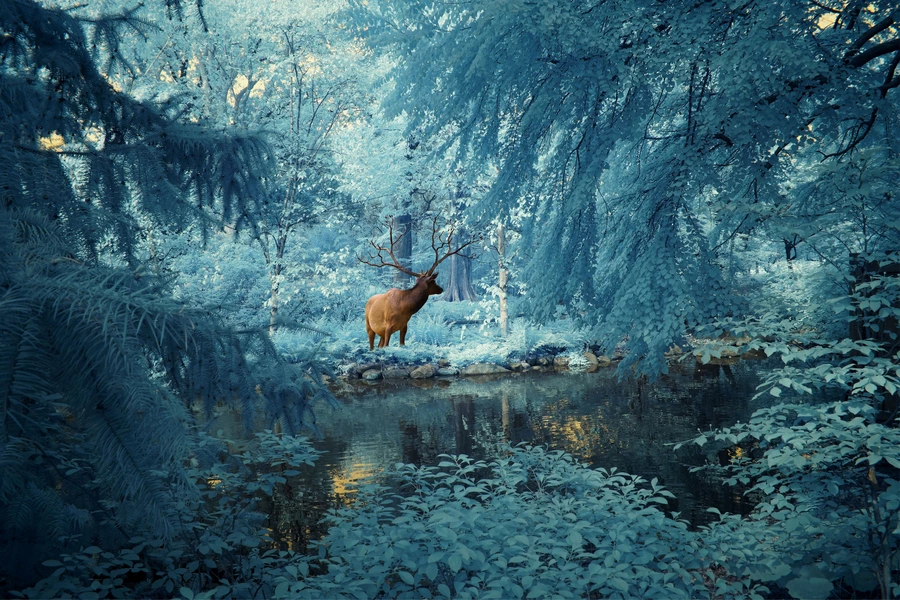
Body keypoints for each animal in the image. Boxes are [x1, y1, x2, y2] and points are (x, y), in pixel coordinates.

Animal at [358, 216, 477, 350]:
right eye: (433, 281)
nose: (441, 289)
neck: (404, 308)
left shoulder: (404, 326)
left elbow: (402, 344)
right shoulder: (388, 326)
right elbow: (387, 345)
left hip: (380, 332)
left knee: (379, 345)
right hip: (369, 326)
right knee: (372, 345)